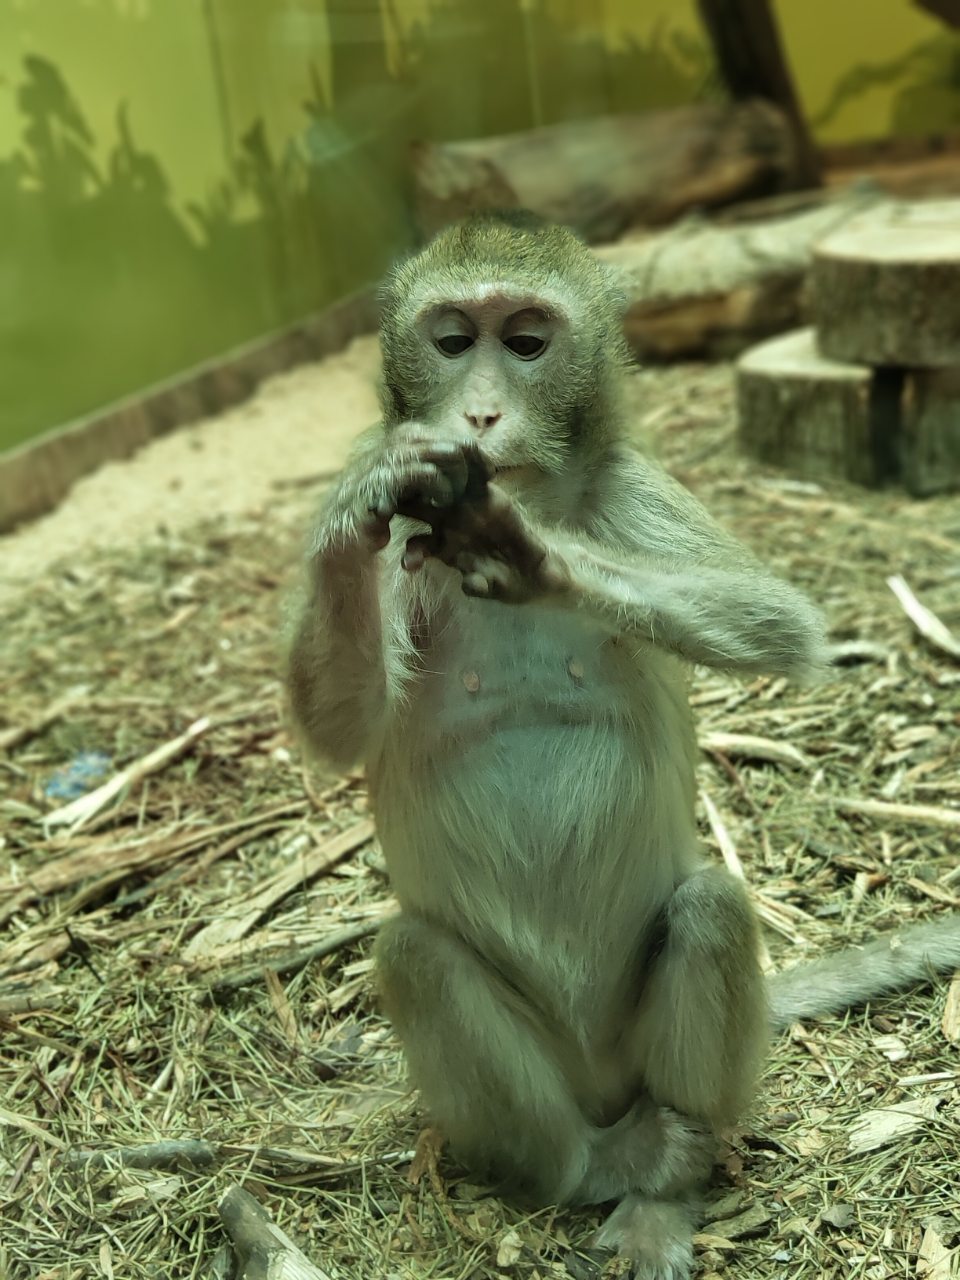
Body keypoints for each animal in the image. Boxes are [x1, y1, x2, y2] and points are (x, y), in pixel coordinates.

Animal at [289, 212, 960, 1280]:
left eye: (526, 341)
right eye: (452, 340)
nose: (481, 414)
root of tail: (606, 1093)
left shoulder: (630, 489)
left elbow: (779, 623)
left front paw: (537, 557)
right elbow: (338, 724)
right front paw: (358, 508)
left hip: (649, 1054)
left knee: (709, 910)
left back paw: (665, 1184)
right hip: (544, 1087)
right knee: (420, 958)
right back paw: (590, 1167)